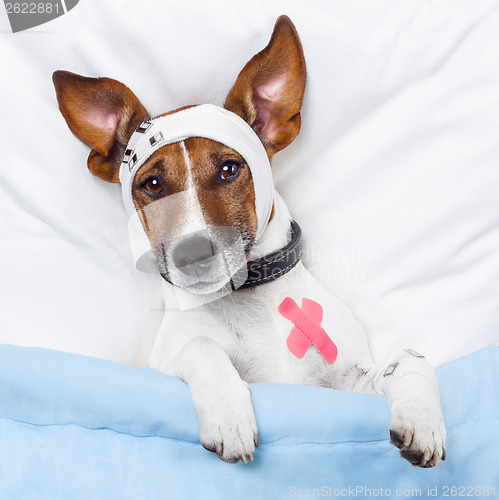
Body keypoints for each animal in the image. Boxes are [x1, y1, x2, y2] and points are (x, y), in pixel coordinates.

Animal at [52, 16, 448, 468]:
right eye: (151, 184)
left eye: (228, 169)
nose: (192, 253)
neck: (251, 300)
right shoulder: (164, 365)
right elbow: (202, 345)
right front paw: (228, 415)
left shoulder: (349, 387)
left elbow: (409, 358)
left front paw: (422, 418)